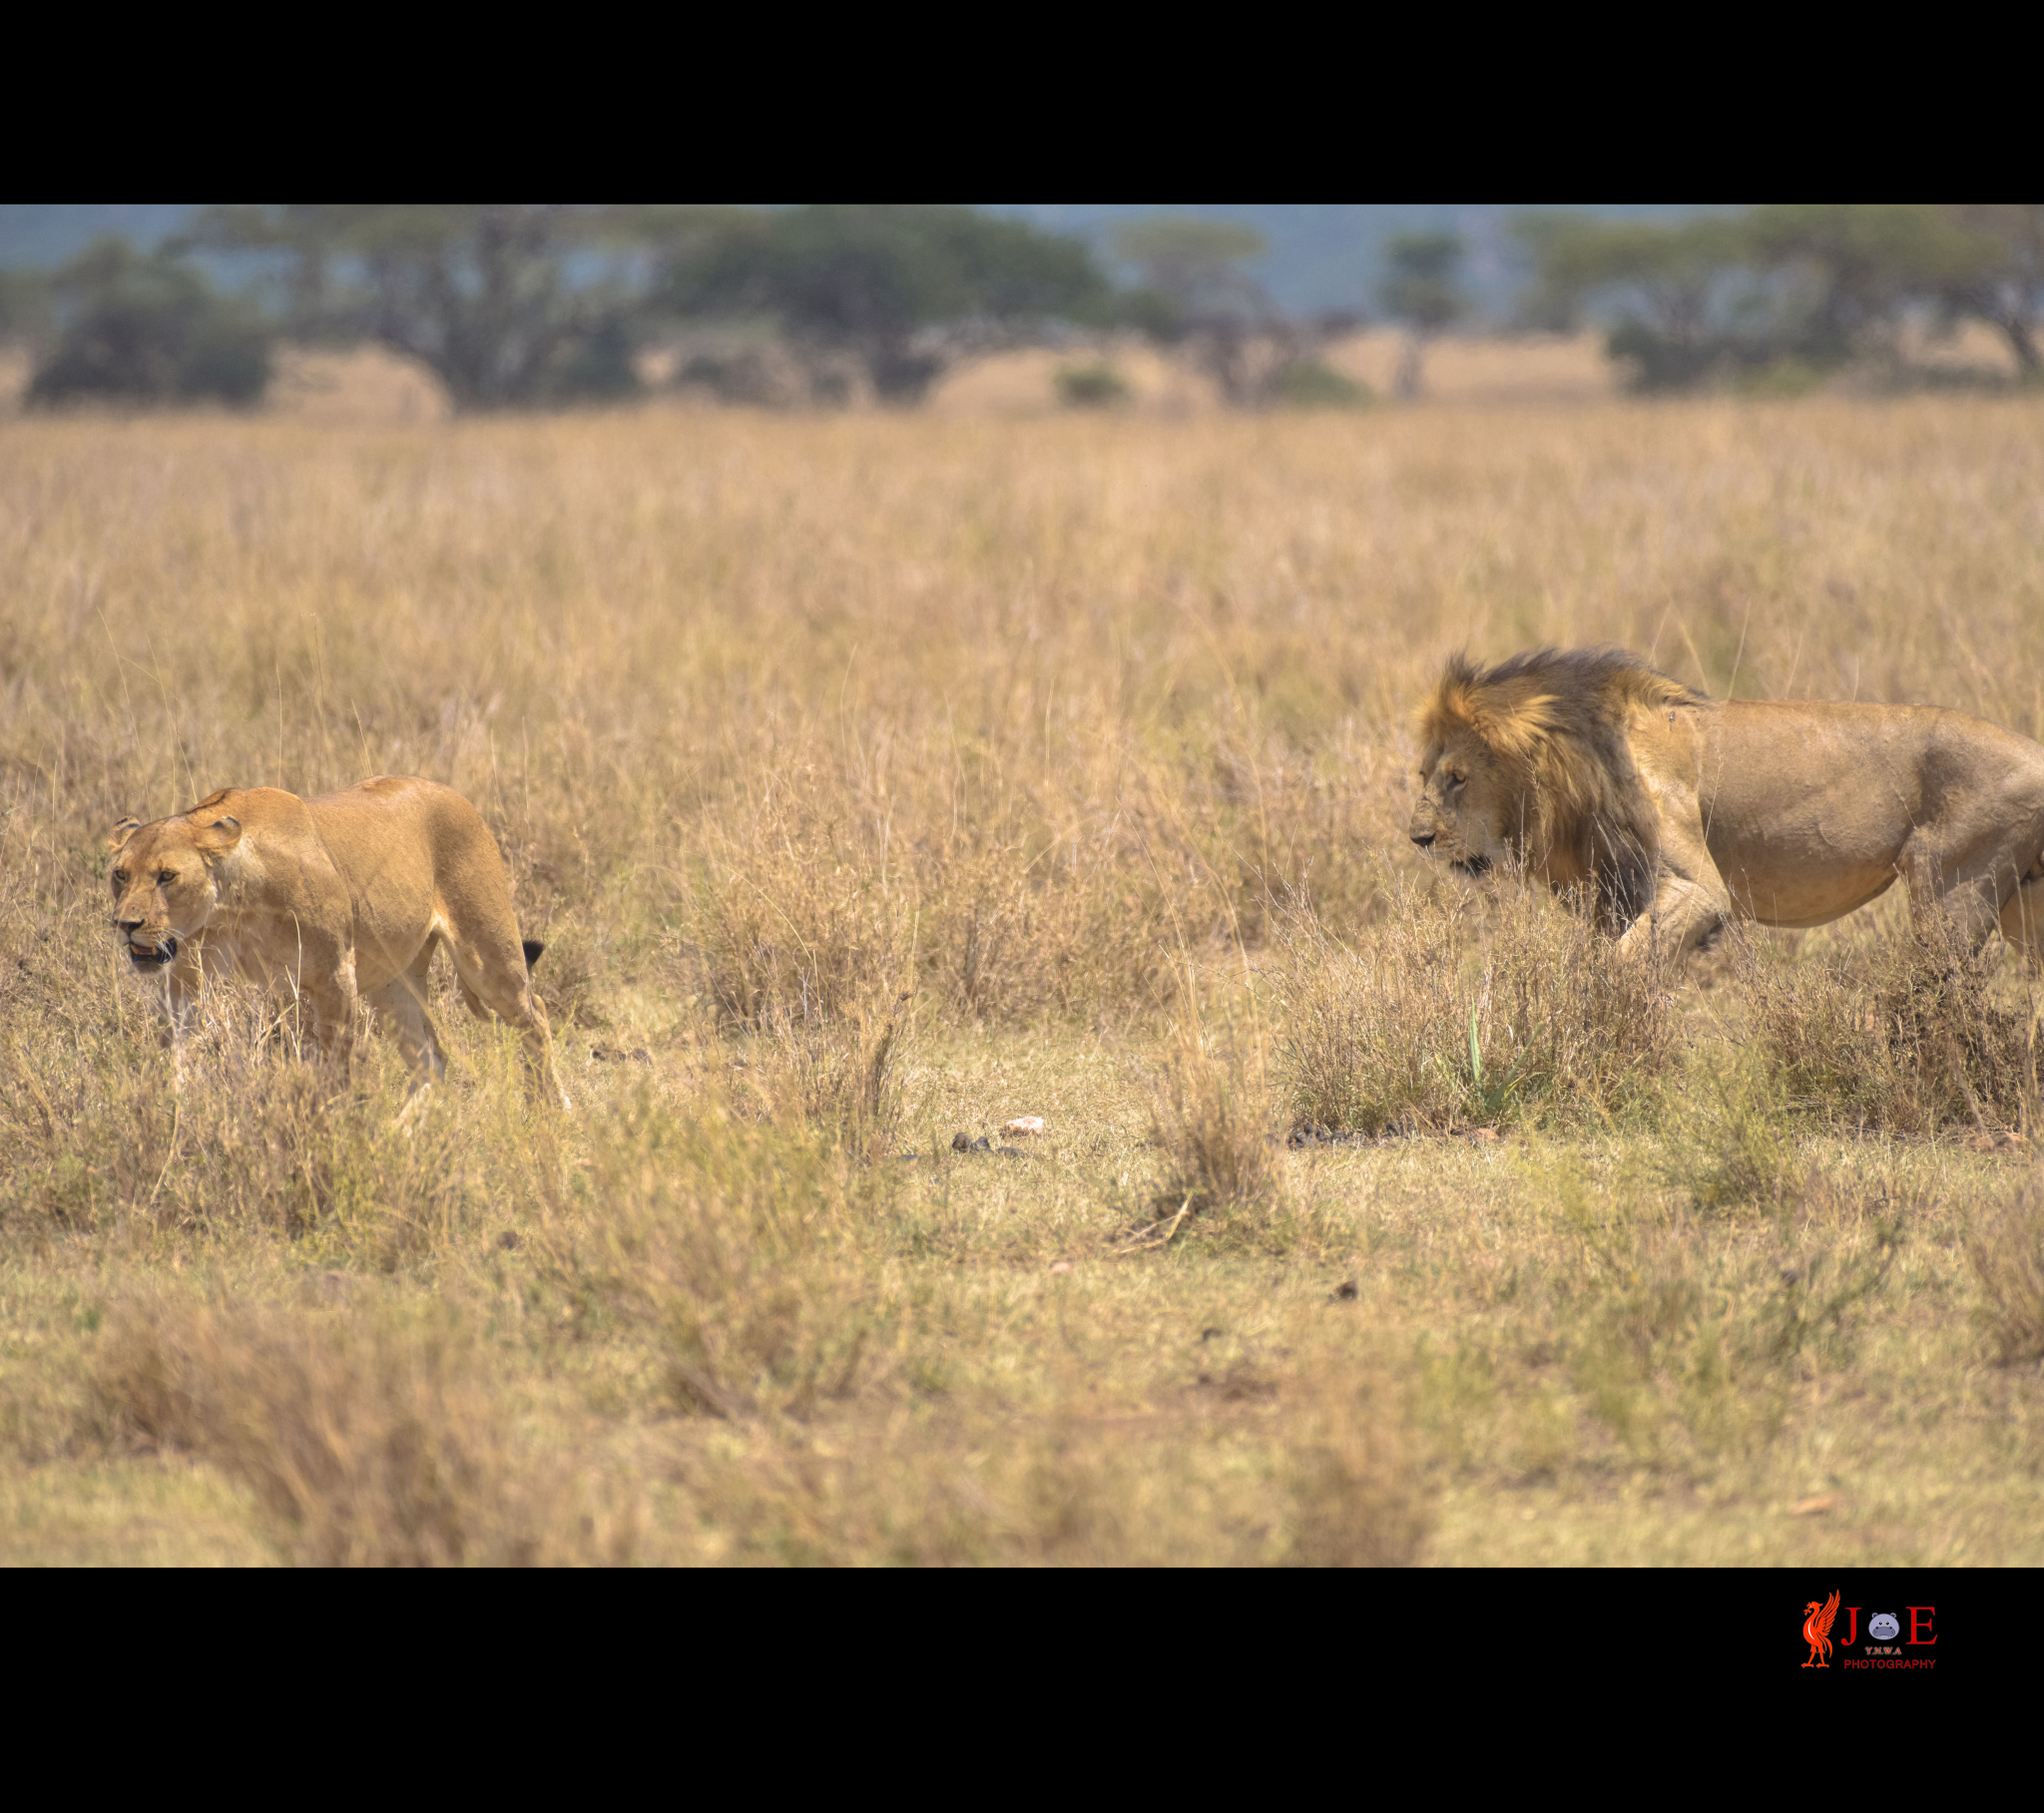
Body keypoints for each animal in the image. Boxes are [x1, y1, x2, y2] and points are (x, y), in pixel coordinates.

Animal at [116, 776, 572, 1112]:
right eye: (120, 874)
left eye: (167, 876)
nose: (124, 924)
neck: (230, 906)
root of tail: (456, 795)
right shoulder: (185, 978)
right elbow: (177, 1048)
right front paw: (173, 1111)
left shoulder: (334, 974)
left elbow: (336, 1068)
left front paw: (333, 1128)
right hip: (393, 983)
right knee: (431, 1063)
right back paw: (401, 1137)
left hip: (485, 955)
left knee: (536, 1015)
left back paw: (550, 1108)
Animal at [1414, 650, 2044, 973]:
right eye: (1424, 776)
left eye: (1459, 779)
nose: (1418, 839)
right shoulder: (1612, 893)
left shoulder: (1698, 889)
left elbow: (1616, 966)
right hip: (2024, 906)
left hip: (1950, 889)